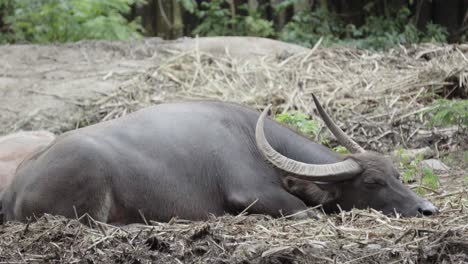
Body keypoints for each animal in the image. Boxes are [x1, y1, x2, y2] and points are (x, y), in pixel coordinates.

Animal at [1, 96, 436, 224]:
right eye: (372, 183)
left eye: (398, 174)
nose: (426, 209)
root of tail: (15, 189)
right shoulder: (253, 194)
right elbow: (309, 212)